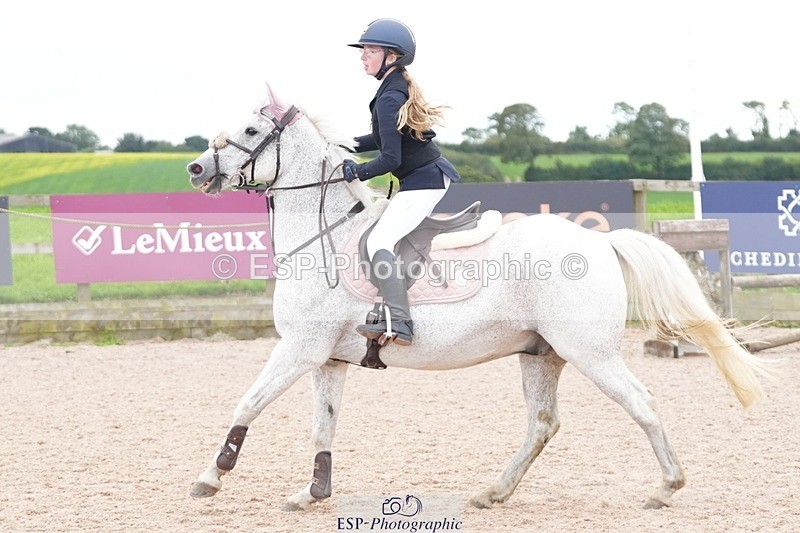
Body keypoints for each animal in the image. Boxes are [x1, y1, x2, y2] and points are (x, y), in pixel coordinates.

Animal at [185, 84, 773, 511]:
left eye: (251, 129)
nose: (196, 168)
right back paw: (493, 492)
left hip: (590, 352)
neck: (323, 232)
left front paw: (211, 477)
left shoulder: (299, 349)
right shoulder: (327, 358)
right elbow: (321, 426)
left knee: (641, 402)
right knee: (543, 423)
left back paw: (666, 487)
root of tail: (600, 241)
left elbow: (247, 403)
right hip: (542, 354)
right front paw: (313, 493)